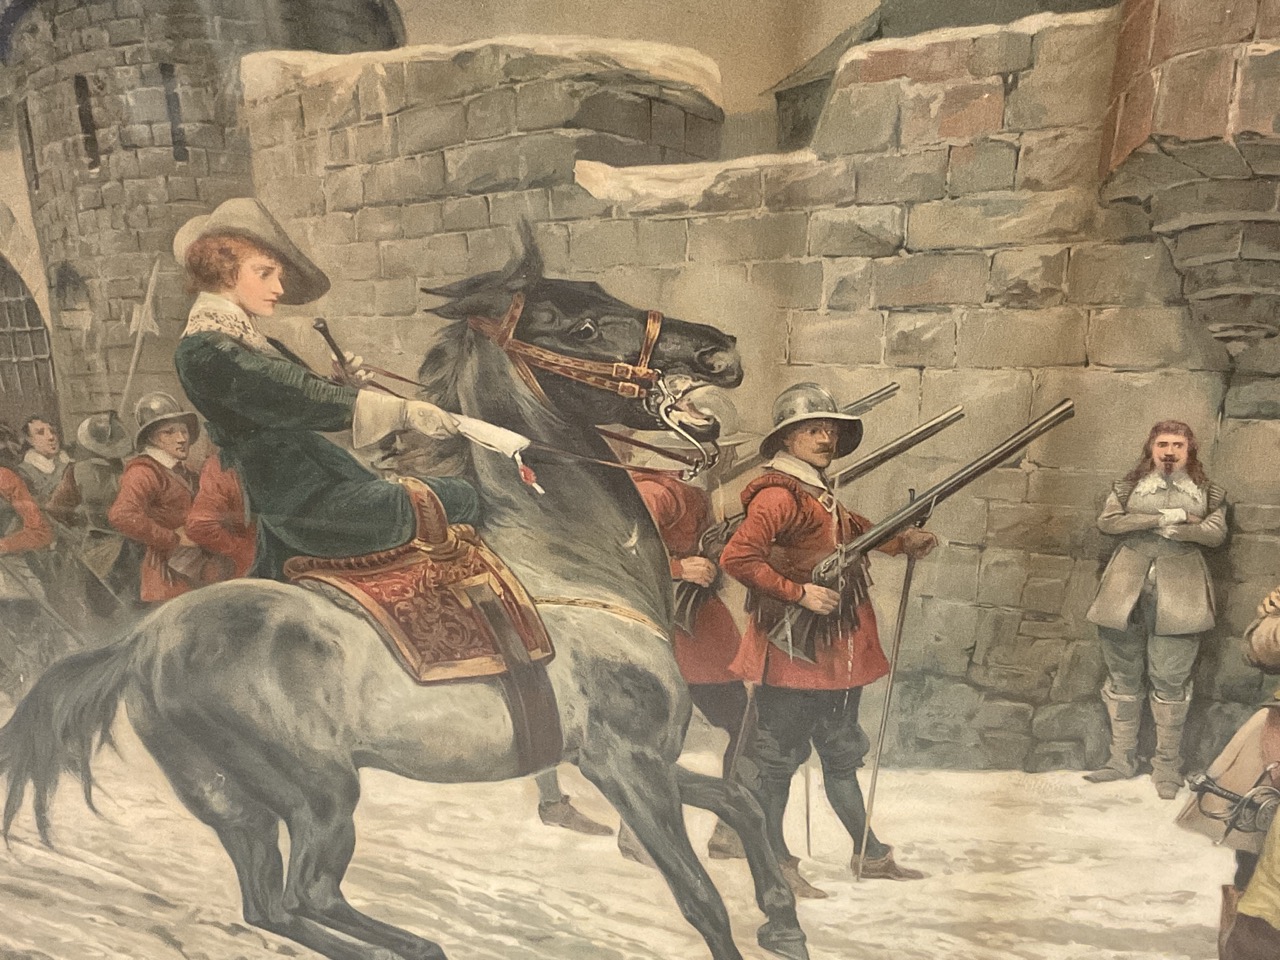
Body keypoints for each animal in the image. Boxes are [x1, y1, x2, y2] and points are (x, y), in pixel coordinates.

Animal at [0, 234, 808, 960]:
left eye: (604, 292)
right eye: (580, 326)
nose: (717, 350)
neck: (566, 567)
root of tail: (145, 639)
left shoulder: (629, 758)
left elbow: (738, 799)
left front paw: (783, 916)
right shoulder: (625, 760)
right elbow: (702, 902)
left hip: (231, 803)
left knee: (269, 906)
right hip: (319, 794)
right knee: (307, 893)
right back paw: (422, 947)